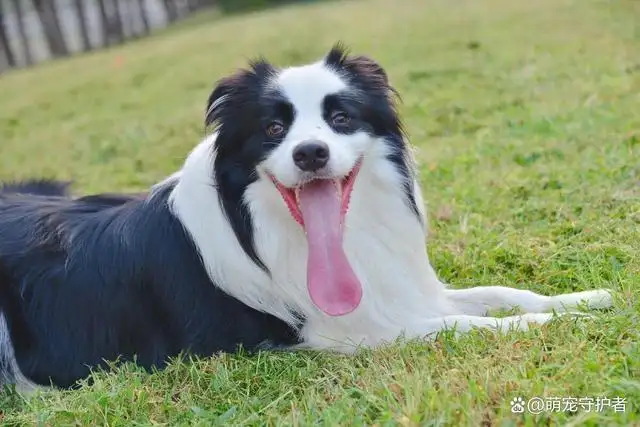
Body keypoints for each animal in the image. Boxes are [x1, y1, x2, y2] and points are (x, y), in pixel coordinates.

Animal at [0, 45, 608, 392]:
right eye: (273, 129)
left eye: (340, 118)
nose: (310, 154)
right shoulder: (345, 332)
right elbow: (467, 325)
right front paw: (560, 322)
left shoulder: (400, 291)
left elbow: (499, 294)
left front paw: (584, 299)